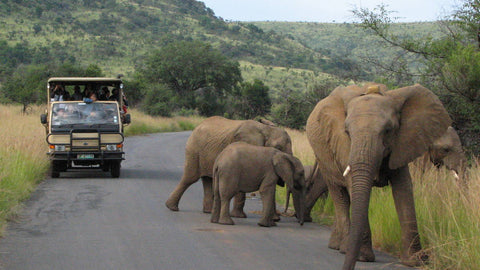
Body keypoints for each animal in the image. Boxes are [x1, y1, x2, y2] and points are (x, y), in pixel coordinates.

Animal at [306, 83, 452, 268]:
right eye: (347, 132)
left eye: (388, 130)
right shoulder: (342, 145)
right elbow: (353, 186)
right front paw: (363, 258)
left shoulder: (402, 143)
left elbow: (404, 190)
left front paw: (415, 261)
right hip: (323, 156)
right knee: (339, 195)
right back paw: (343, 248)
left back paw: (339, 247)